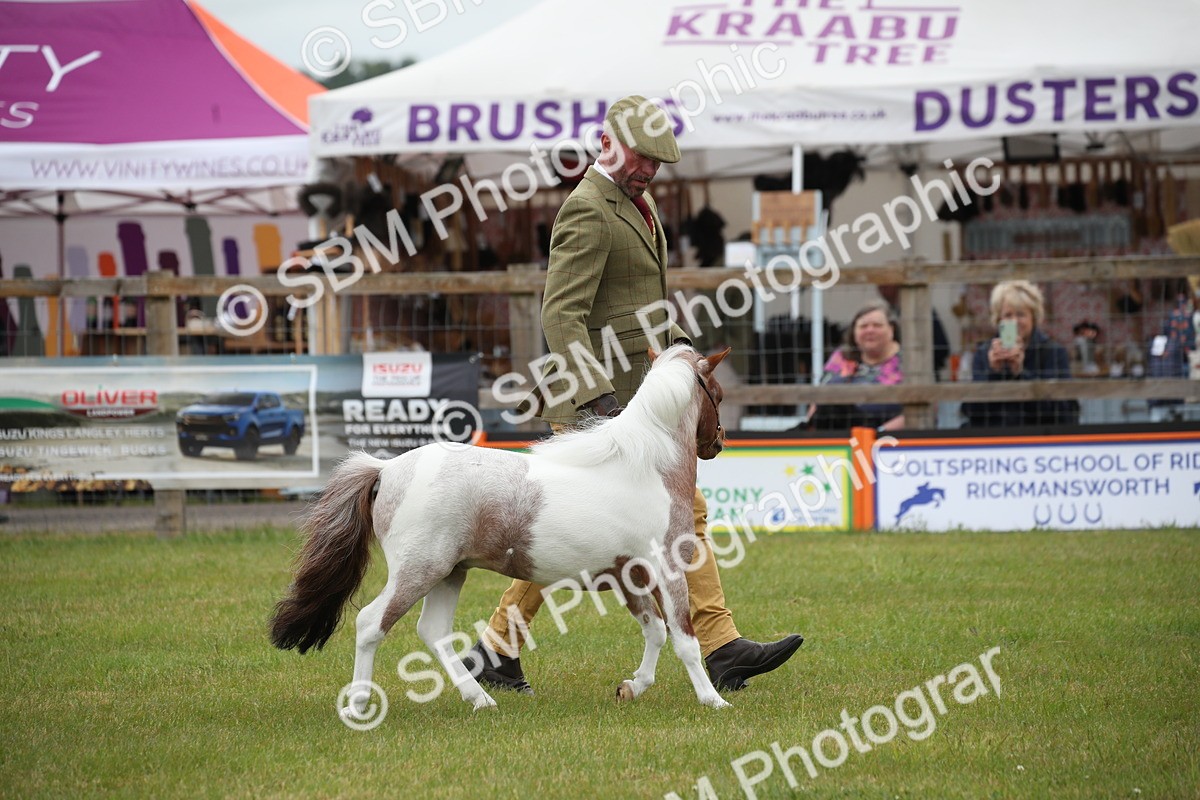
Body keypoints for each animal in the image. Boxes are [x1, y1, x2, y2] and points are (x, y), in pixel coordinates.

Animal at [269, 344, 733, 719]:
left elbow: (654, 631)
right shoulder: (666, 568)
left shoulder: (626, 575)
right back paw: (360, 704)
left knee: (433, 632)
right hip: (419, 570)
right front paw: (713, 701)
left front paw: (632, 687)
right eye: (718, 393)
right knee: (370, 623)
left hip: (450, 573)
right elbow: (684, 638)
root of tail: (385, 470)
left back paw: (480, 700)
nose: (718, 444)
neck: (644, 466)